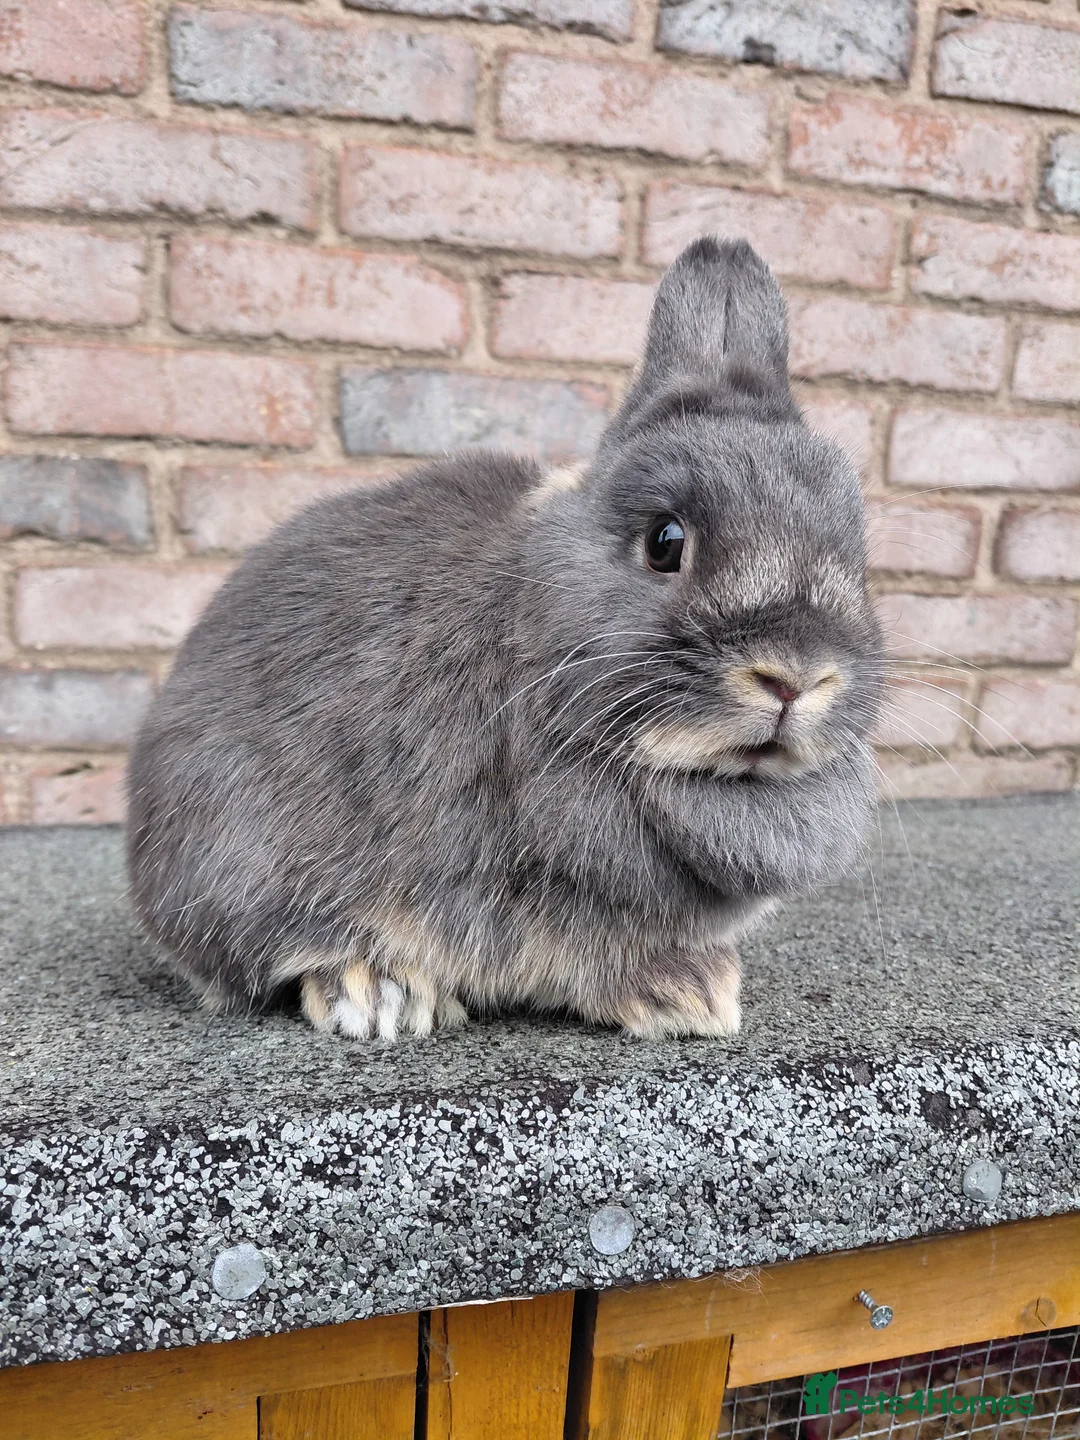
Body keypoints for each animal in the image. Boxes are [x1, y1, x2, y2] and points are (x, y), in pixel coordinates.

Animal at [126, 237, 883, 1044]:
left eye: (858, 556)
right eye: (665, 541)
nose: (796, 676)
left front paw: (700, 991)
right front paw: (684, 997)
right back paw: (378, 990)